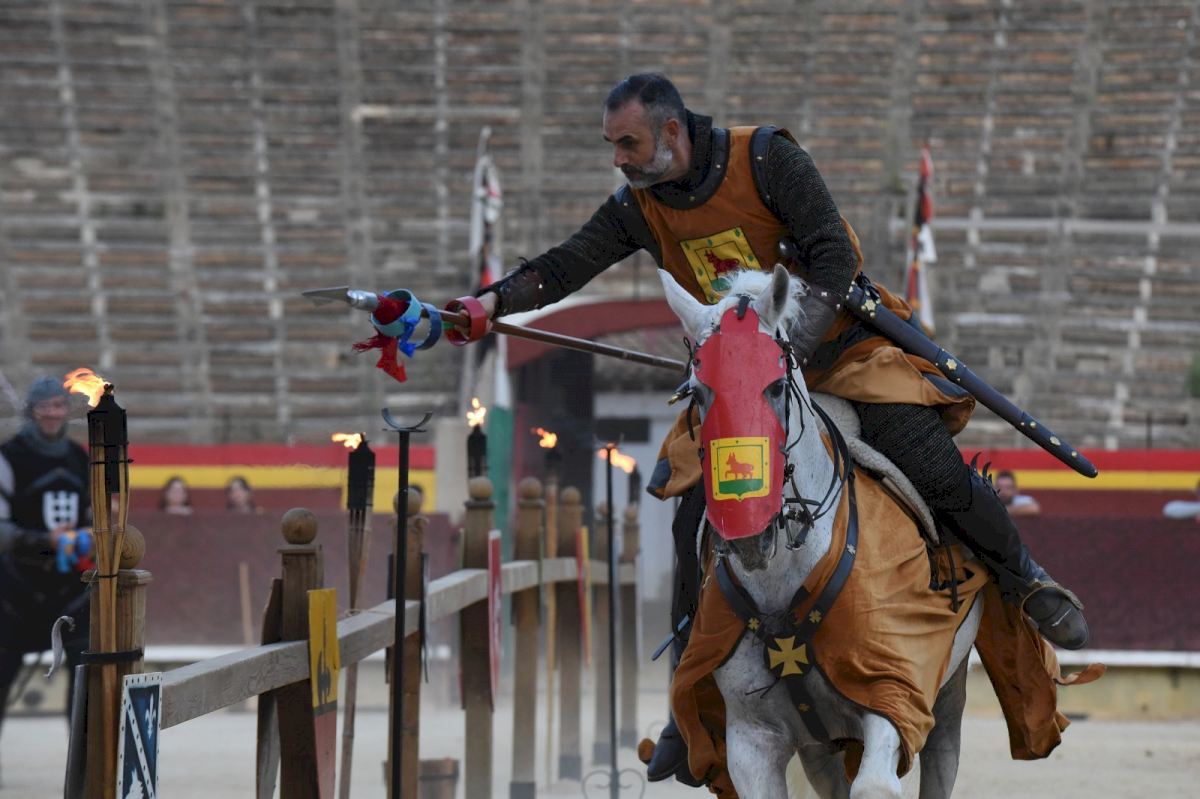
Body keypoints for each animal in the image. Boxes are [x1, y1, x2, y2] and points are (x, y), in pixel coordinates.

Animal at [660, 264, 983, 799]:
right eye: (698, 392)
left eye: (775, 386)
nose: (749, 537)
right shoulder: (752, 740)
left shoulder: (893, 695)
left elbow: (875, 785)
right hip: (818, 744)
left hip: (950, 695)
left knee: (942, 753)